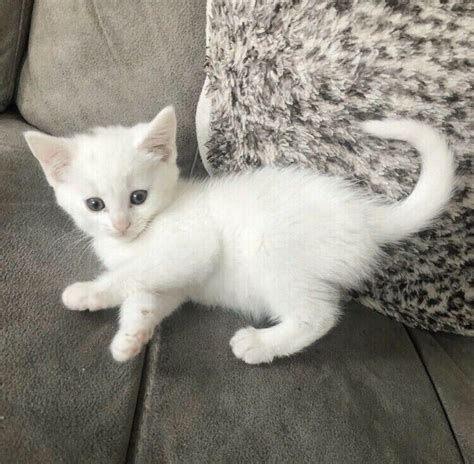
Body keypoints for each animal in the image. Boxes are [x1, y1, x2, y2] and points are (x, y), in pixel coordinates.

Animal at [25, 107, 456, 364]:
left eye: (138, 197)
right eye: (94, 204)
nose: (121, 225)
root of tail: (365, 214)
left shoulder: (190, 248)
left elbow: (131, 276)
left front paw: (87, 294)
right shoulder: (174, 281)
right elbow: (145, 295)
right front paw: (132, 337)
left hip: (272, 249)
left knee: (318, 316)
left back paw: (260, 345)